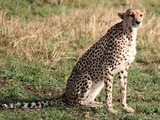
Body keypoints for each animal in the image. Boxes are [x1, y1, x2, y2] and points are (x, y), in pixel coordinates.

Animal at [0, 8, 144, 113]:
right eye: (131, 15)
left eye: (141, 15)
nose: (138, 22)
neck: (129, 33)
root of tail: (64, 95)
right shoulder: (108, 67)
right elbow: (109, 93)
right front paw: (111, 109)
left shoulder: (123, 68)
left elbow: (123, 90)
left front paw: (125, 107)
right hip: (86, 77)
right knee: (76, 103)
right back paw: (93, 106)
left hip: (98, 82)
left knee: (84, 100)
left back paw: (95, 103)